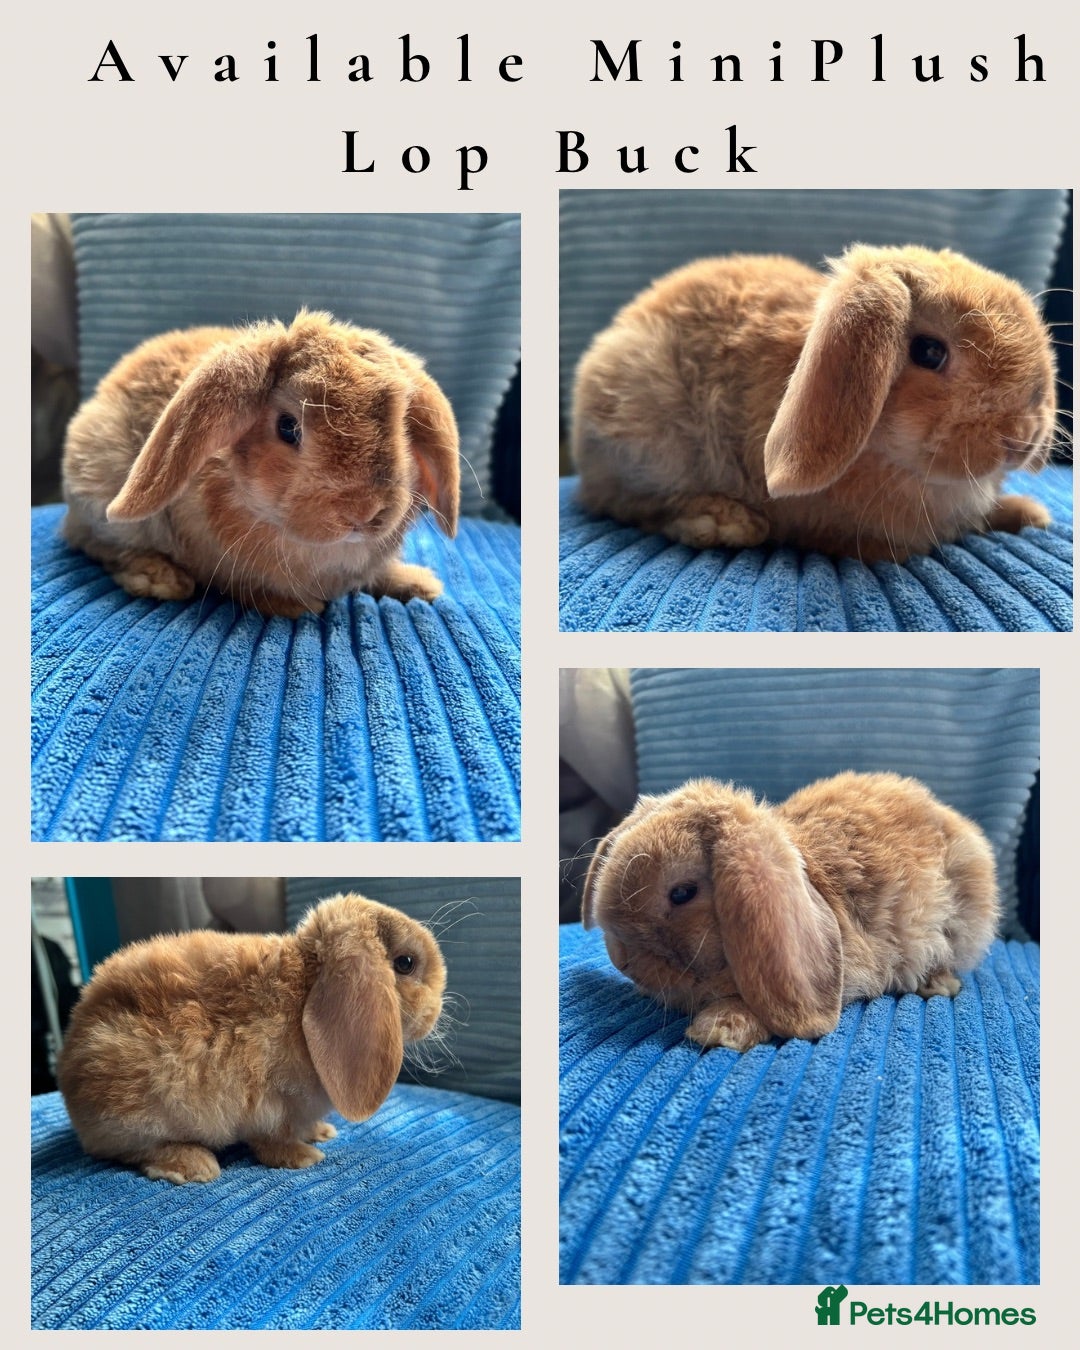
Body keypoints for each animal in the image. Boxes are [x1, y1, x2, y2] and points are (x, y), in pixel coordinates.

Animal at [55, 893, 447, 1183]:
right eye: (406, 963)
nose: (436, 1011)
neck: (307, 983)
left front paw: (319, 1132)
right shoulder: (269, 1104)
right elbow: (273, 1140)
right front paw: (305, 1157)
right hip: (136, 1111)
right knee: (134, 1151)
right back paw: (195, 1167)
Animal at [61, 310, 461, 617]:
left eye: (402, 425)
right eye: (288, 427)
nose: (362, 512)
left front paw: (420, 584)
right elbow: (247, 590)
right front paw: (297, 607)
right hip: (102, 495)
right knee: (93, 543)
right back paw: (160, 579)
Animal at [572, 245, 1058, 563]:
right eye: (929, 352)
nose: (1022, 436)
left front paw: (1031, 515)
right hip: (647, 437)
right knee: (625, 504)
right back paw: (723, 523)